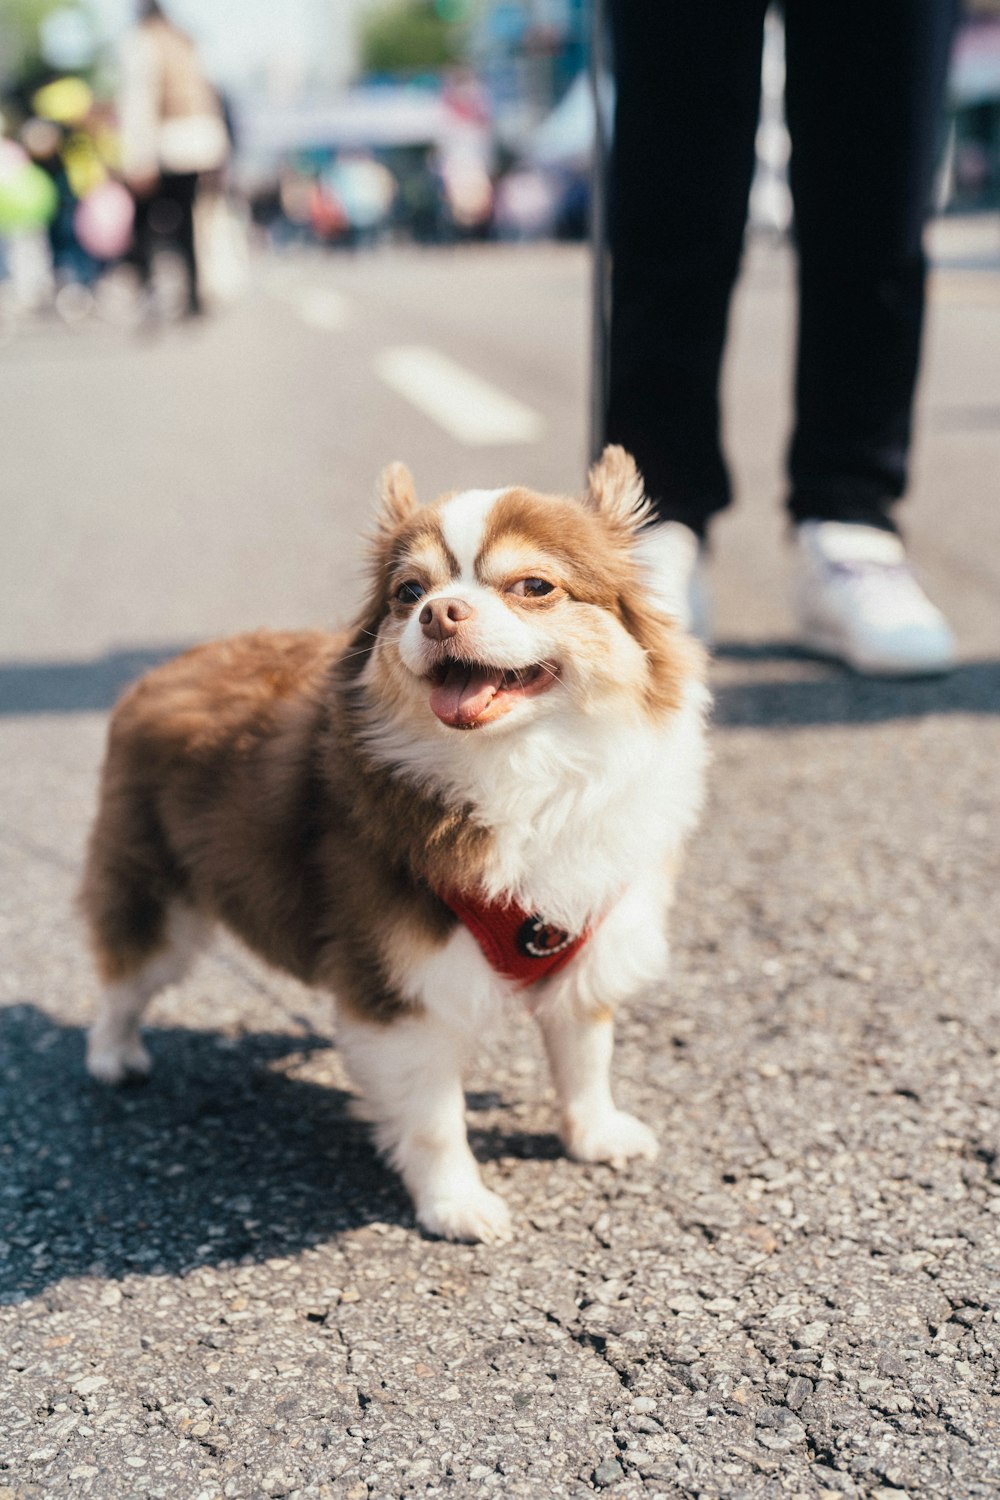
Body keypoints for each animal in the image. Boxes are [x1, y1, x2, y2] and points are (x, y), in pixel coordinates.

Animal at [82, 444, 707, 1242]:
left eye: (534, 586)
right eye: (409, 593)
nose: (440, 611)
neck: (520, 767)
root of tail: (166, 668)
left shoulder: (584, 932)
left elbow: (585, 1053)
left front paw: (594, 1134)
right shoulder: (401, 983)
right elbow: (436, 1116)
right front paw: (455, 1204)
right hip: (156, 893)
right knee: (124, 975)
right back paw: (113, 1055)